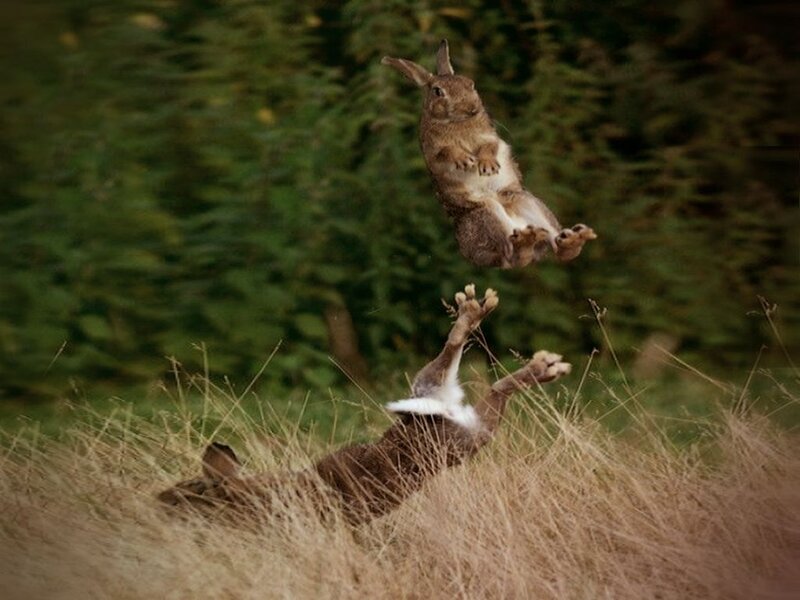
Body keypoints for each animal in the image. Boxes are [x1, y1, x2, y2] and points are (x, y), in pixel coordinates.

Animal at [158, 284, 571, 525]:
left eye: (183, 492)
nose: (157, 503)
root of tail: (445, 408)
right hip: (462, 429)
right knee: (488, 385)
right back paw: (541, 363)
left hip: (445, 418)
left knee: (469, 365)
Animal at [382, 40, 597, 268]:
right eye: (438, 92)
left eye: (471, 84)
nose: (472, 108)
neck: (458, 122)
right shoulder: (433, 151)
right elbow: (448, 151)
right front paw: (465, 160)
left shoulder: (490, 138)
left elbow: (488, 147)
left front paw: (487, 166)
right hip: (488, 213)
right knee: (512, 255)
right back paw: (528, 240)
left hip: (526, 202)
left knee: (556, 248)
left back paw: (573, 238)